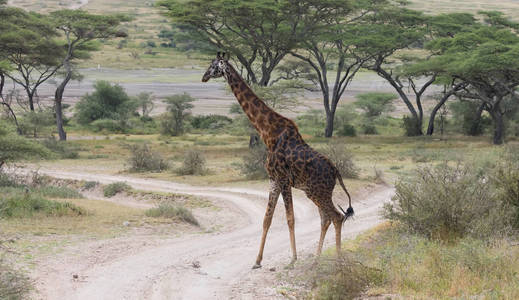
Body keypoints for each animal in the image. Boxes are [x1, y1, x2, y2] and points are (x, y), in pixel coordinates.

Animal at [201, 52, 356, 270]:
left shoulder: (283, 180)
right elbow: (267, 219)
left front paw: (293, 259)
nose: (204, 77)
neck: (268, 133)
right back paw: (317, 259)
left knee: (337, 216)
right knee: (326, 218)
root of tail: (336, 171)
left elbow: (290, 219)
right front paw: (257, 261)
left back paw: (338, 260)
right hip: (318, 192)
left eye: (214, 65)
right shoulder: (273, 180)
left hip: (317, 191)